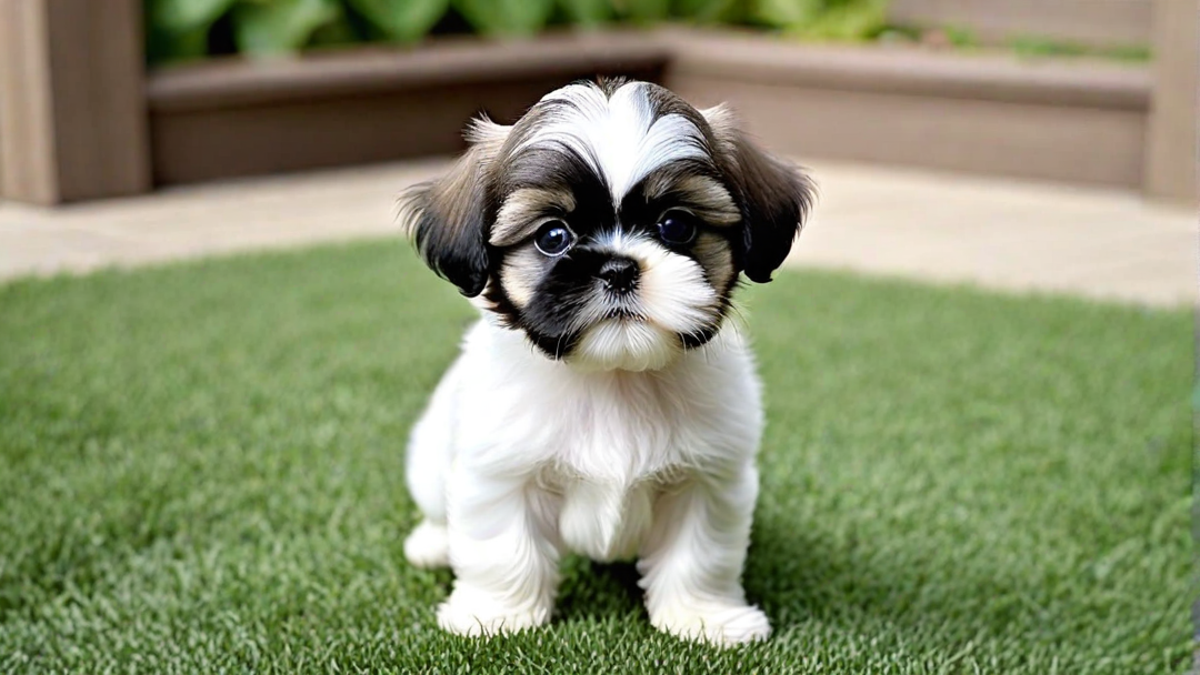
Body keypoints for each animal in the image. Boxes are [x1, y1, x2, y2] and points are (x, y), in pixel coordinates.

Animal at [398, 76, 811, 643]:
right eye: (553, 236)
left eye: (676, 225)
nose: (618, 268)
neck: (613, 377)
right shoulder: (501, 470)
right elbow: (505, 549)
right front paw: (497, 615)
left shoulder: (707, 477)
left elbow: (699, 554)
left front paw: (703, 617)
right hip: (429, 458)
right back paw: (434, 543)